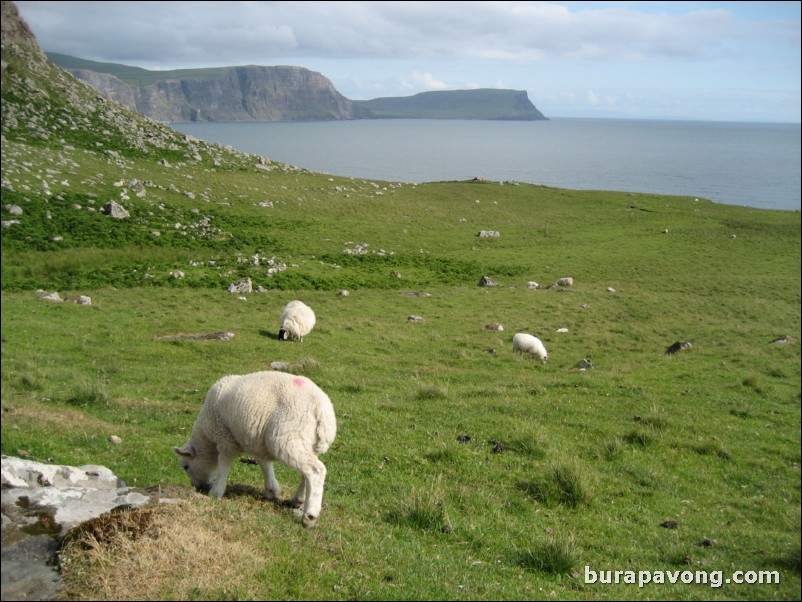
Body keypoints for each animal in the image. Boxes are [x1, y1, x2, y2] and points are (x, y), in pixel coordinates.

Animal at [173, 370, 336, 524]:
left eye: (186, 467)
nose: (197, 487)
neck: (206, 437)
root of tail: (320, 407)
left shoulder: (226, 439)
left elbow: (223, 467)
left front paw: (216, 492)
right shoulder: (256, 441)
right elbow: (264, 464)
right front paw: (271, 489)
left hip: (287, 435)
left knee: (315, 470)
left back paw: (310, 515)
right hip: (308, 442)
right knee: (306, 471)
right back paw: (299, 500)